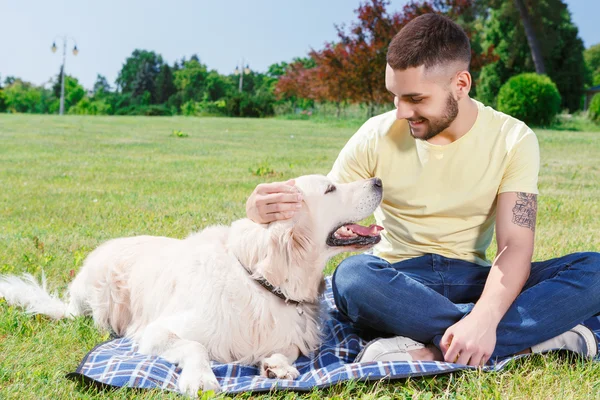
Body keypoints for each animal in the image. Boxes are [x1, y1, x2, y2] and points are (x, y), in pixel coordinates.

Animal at [0, 174, 382, 394]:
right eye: (330, 188)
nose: (378, 181)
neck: (261, 280)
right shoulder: (156, 332)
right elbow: (195, 347)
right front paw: (200, 378)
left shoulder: (291, 334)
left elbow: (284, 348)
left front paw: (277, 364)